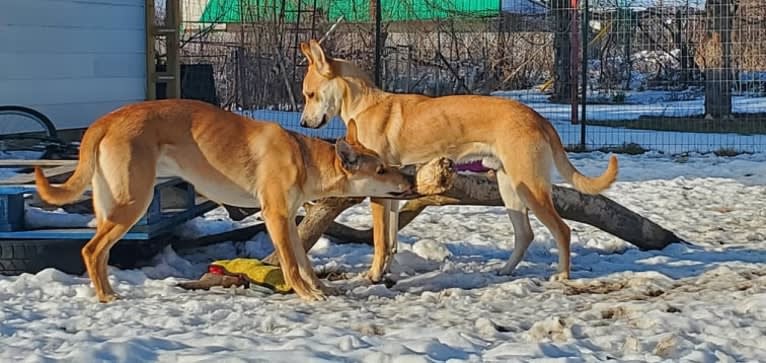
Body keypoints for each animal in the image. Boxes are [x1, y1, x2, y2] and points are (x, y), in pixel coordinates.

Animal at [34, 98, 420, 302]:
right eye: (381, 169)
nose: (410, 178)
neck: (304, 157)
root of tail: (104, 121)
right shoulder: (275, 216)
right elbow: (291, 265)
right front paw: (306, 294)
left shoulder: (289, 218)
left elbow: (305, 262)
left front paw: (319, 287)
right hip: (132, 203)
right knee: (91, 250)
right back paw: (106, 295)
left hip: (111, 206)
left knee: (98, 253)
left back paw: (105, 290)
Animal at [296, 40, 620, 284]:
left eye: (310, 94)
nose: (302, 123)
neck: (365, 106)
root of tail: (538, 117)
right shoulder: (391, 192)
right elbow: (390, 240)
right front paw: (386, 271)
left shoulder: (378, 192)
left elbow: (379, 240)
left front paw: (374, 275)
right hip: (510, 188)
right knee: (525, 234)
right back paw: (506, 270)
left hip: (531, 188)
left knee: (562, 230)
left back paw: (562, 275)